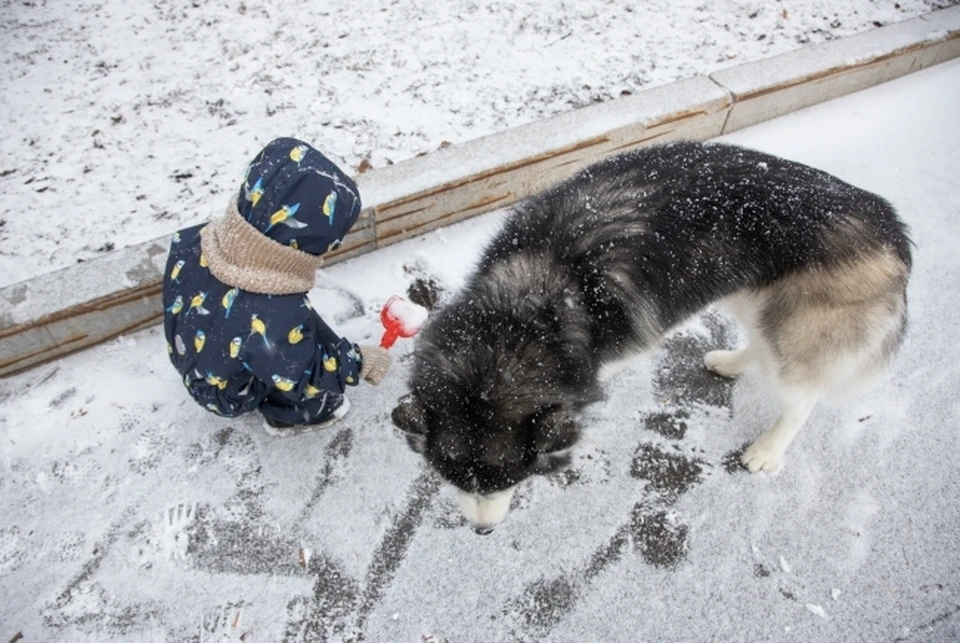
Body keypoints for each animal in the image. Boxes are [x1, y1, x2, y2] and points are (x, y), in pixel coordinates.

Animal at [390, 141, 908, 532]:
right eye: (454, 479)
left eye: (511, 479)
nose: (483, 531)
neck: (531, 303)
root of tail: (889, 223)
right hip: (749, 294)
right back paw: (731, 362)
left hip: (794, 332)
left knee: (800, 397)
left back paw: (768, 450)